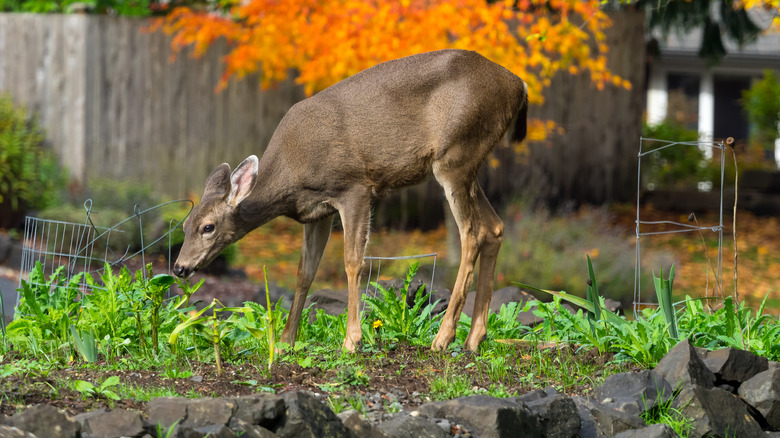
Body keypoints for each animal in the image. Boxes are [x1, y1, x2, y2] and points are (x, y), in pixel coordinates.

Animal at [173, 48, 528, 352]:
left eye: (208, 227)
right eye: (184, 225)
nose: (179, 267)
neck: (292, 175)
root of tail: (518, 85)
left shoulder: (354, 187)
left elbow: (353, 262)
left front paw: (352, 340)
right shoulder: (317, 212)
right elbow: (305, 271)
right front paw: (286, 341)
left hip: (455, 154)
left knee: (472, 233)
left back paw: (443, 338)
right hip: (470, 163)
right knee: (495, 227)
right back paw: (474, 339)